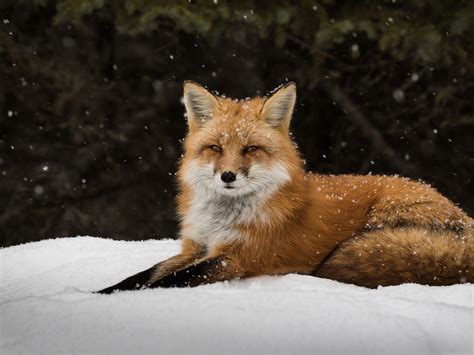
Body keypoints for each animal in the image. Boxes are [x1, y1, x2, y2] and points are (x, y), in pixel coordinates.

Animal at [98, 82, 472, 294]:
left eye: (250, 149)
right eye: (215, 148)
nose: (228, 176)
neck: (223, 218)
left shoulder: (237, 257)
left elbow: (167, 281)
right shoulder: (195, 247)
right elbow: (143, 275)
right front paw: (98, 291)